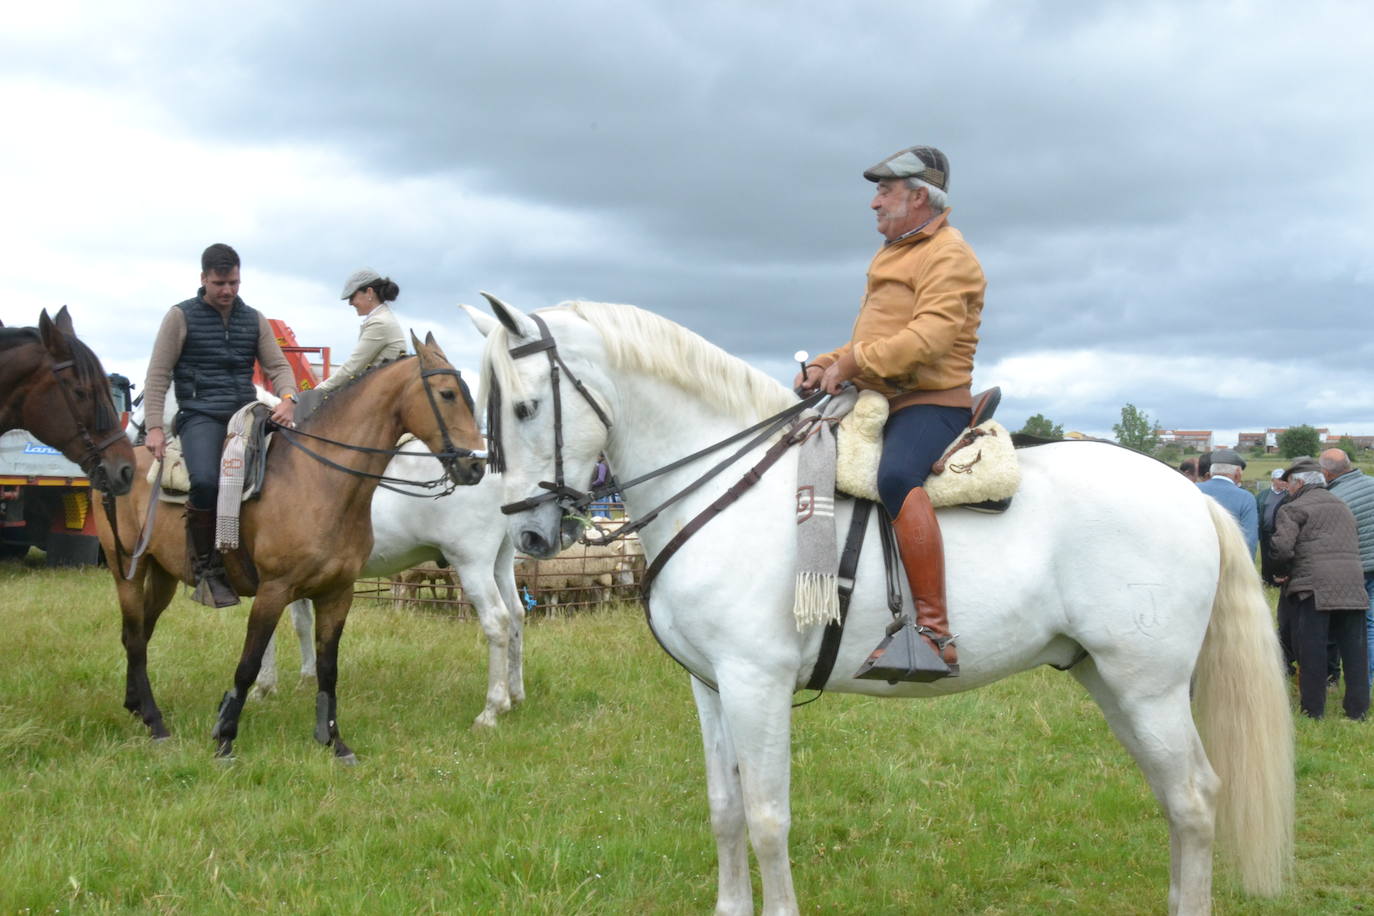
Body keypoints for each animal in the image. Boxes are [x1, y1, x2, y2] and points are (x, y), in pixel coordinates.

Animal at [96, 333, 486, 763]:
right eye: (448, 393)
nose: (476, 466)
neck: (318, 478)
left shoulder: (336, 594)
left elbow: (328, 670)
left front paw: (334, 741)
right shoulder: (273, 591)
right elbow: (249, 663)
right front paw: (225, 736)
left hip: (162, 574)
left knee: (140, 633)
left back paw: (137, 706)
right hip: (126, 570)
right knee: (135, 636)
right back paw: (152, 719)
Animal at [255, 439, 522, 730]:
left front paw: (263, 686)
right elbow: (301, 624)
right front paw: (304, 679)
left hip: (472, 563)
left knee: (497, 620)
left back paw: (491, 710)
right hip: (501, 561)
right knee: (516, 614)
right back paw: (515, 694)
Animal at [467, 299, 1291, 916]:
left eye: (526, 406)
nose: (530, 533)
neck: (728, 489)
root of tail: (1189, 493)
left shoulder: (756, 684)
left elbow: (767, 818)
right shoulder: (711, 687)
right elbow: (726, 809)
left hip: (1147, 686)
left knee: (1193, 798)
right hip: (1112, 681)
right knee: (1174, 797)